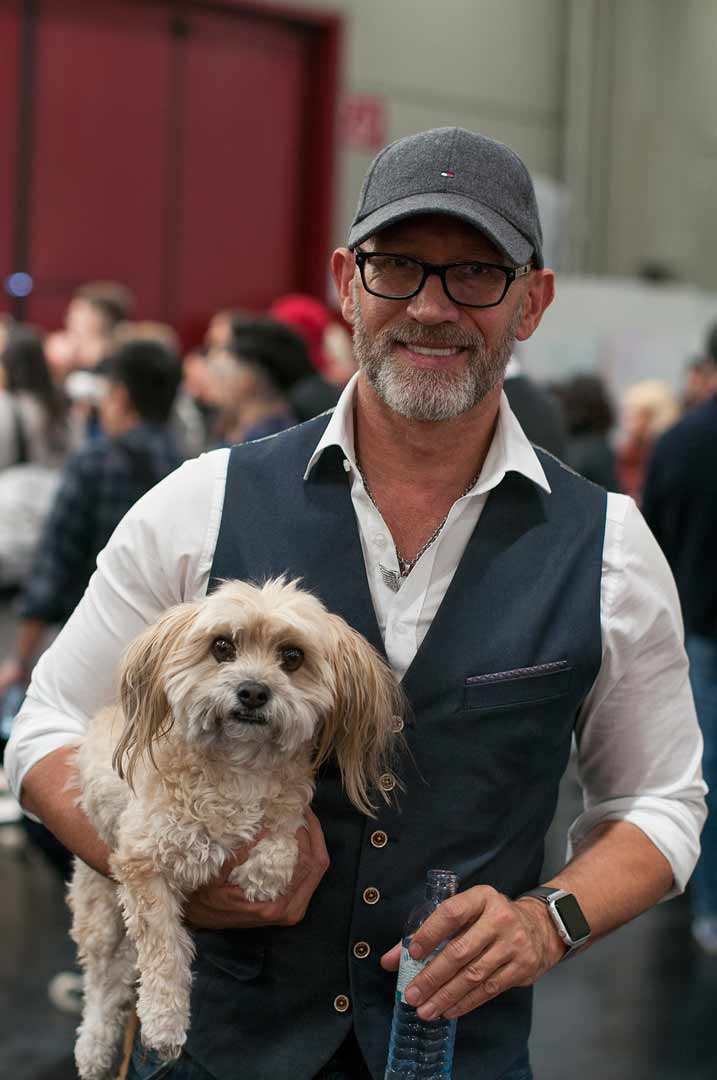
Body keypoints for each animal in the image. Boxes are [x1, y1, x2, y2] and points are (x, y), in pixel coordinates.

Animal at [68, 577, 406, 1080]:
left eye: (292, 656)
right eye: (222, 646)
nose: (252, 692)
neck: (237, 769)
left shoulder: (288, 812)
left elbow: (281, 842)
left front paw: (262, 877)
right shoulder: (141, 865)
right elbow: (164, 950)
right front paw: (165, 1022)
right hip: (100, 907)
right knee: (103, 982)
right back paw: (93, 1047)